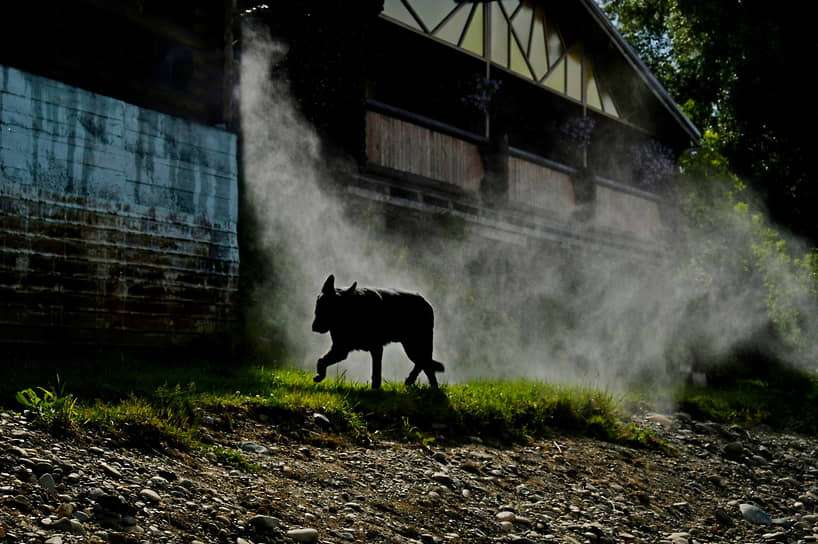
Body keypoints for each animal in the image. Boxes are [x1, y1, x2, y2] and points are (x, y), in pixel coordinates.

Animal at [310, 276, 444, 386]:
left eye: (329, 309)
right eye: (318, 308)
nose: (314, 327)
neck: (351, 311)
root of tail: (426, 302)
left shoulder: (376, 348)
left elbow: (376, 373)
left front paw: (375, 389)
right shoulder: (340, 349)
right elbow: (321, 360)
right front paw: (320, 376)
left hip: (414, 346)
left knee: (424, 363)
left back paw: (416, 382)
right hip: (413, 347)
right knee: (426, 365)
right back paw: (429, 387)